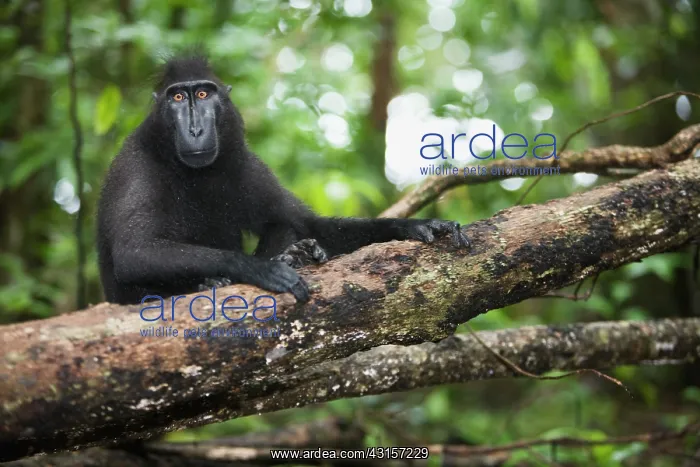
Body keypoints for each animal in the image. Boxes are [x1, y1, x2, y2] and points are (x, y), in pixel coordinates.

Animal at [97, 56, 469, 305]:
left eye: (203, 95)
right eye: (177, 97)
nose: (196, 129)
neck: (195, 173)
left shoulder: (247, 163)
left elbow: (304, 222)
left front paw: (417, 225)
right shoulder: (136, 167)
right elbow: (135, 251)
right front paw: (261, 269)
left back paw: (295, 254)